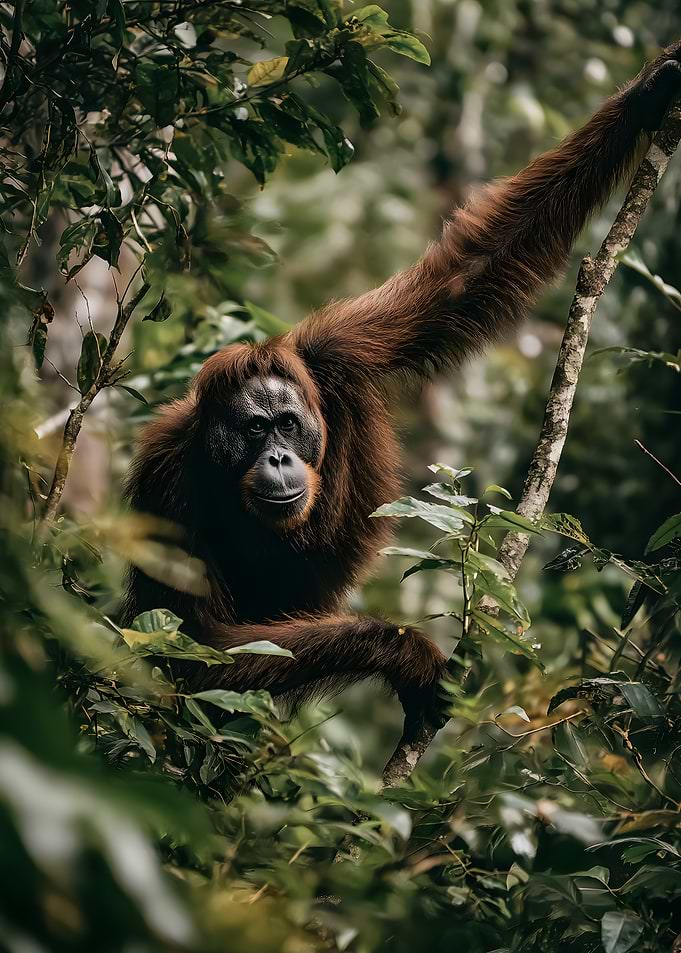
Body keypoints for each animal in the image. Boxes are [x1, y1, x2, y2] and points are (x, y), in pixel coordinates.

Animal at [123, 44, 681, 741]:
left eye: (285, 424)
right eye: (254, 430)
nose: (277, 455)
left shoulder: (335, 350)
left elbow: (464, 277)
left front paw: (650, 93)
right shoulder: (164, 483)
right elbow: (189, 648)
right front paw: (408, 654)